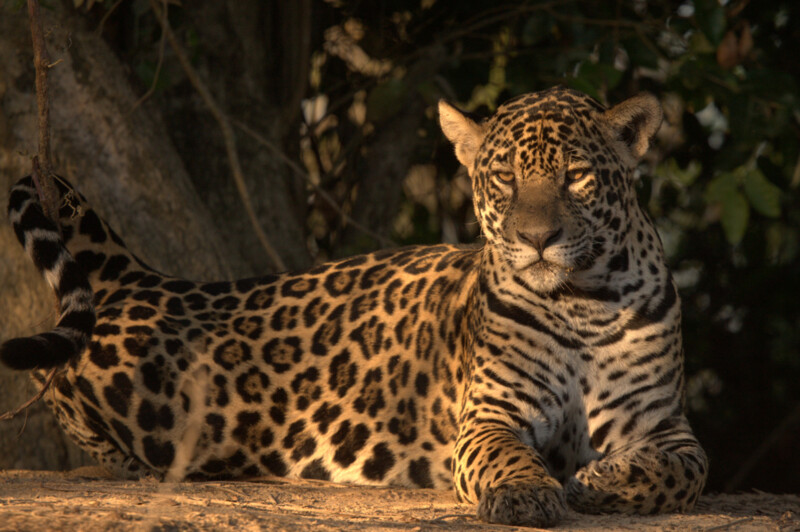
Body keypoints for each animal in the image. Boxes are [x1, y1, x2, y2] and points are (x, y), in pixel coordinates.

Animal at [1, 86, 707, 527]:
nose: (537, 239)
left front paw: (600, 481)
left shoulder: (662, 426)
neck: (581, 301)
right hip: (149, 397)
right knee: (54, 383)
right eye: (504, 177)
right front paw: (526, 493)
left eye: (576, 177)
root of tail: (150, 277)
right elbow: (506, 457)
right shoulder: (490, 414)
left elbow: (683, 470)